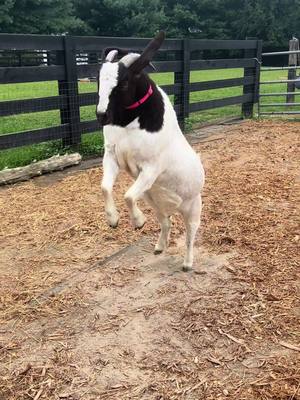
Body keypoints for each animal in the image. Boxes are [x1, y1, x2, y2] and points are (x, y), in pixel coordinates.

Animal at [97, 30, 205, 268]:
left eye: (124, 83)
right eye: (98, 81)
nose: (101, 115)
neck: (131, 124)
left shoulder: (151, 168)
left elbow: (128, 196)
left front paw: (138, 222)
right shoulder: (111, 156)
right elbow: (105, 187)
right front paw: (113, 220)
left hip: (193, 206)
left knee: (191, 233)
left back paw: (188, 263)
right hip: (155, 201)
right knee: (166, 223)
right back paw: (159, 247)